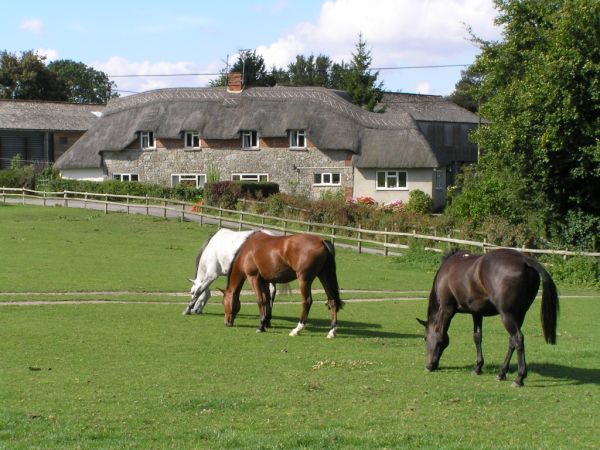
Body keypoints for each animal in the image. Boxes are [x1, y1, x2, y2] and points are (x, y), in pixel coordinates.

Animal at [418, 246, 556, 386]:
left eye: (425, 338)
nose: (429, 364)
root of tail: (524, 260)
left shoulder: (447, 310)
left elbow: (441, 335)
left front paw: (431, 365)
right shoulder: (477, 313)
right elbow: (477, 337)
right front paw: (478, 367)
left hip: (507, 315)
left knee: (518, 338)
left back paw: (519, 378)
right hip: (520, 314)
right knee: (512, 341)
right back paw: (501, 373)